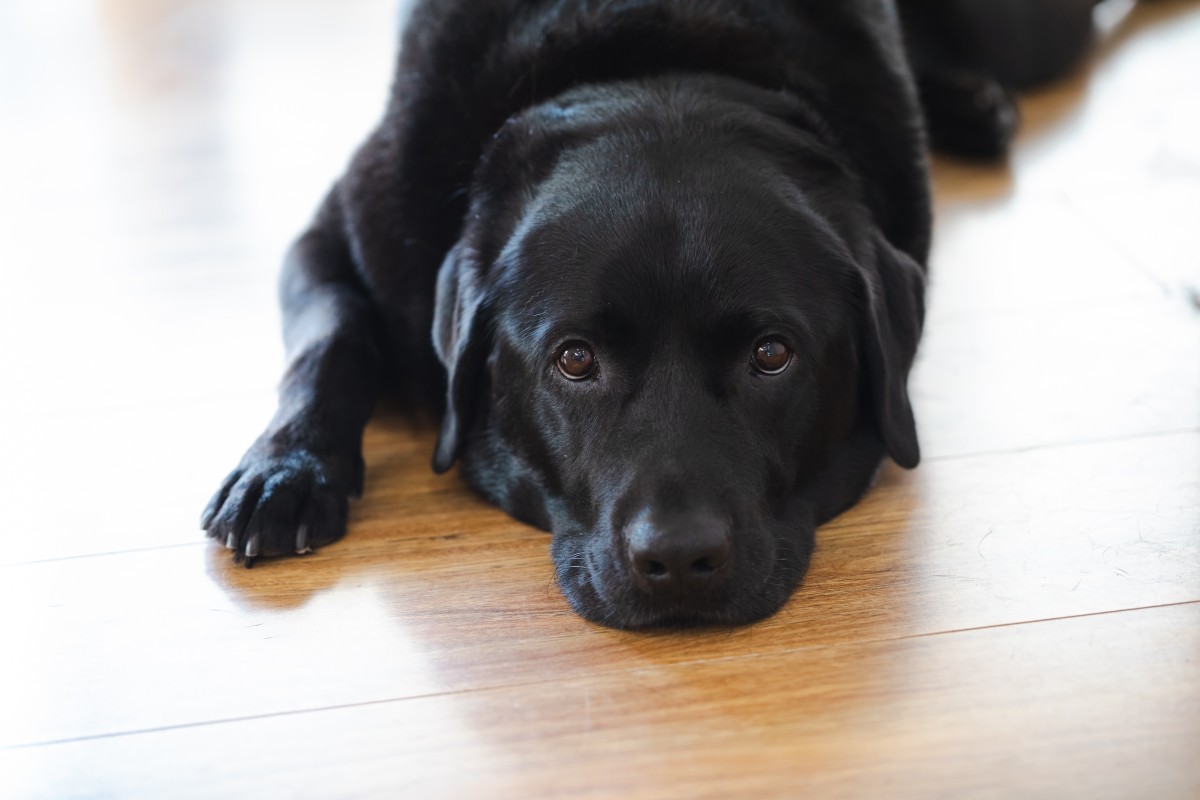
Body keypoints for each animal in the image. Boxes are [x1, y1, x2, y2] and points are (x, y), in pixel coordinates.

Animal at [204, 0, 1104, 623]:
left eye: (772, 354)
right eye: (574, 358)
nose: (678, 560)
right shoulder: (331, 235)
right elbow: (332, 340)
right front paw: (285, 472)